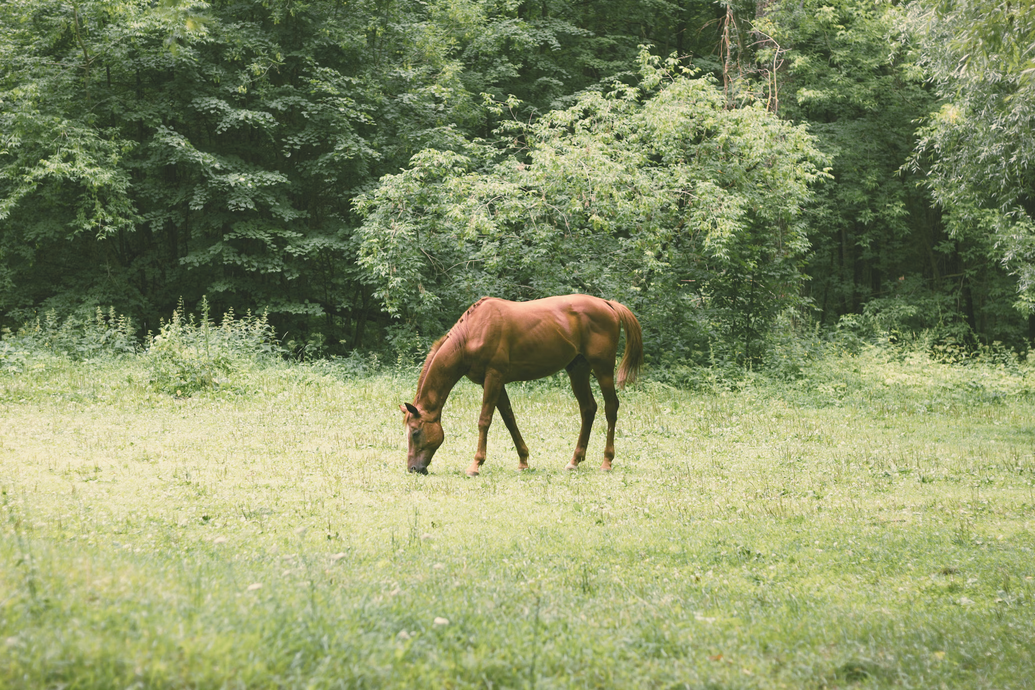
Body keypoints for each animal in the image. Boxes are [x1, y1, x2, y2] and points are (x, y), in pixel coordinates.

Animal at [400, 294, 643, 476]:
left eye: (415, 432)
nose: (414, 469)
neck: (473, 332)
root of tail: (607, 304)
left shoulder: (494, 377)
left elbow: (484, 420)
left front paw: (475, 464)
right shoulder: (494, 383)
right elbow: (509, 419)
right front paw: (523, 461)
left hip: (603, 369)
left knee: (611, 407)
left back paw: (607, 461)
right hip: (578, 370)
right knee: (588, 408)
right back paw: (574, 460)